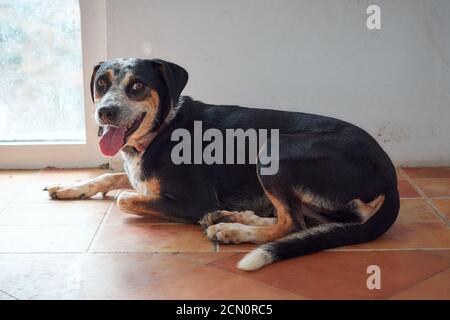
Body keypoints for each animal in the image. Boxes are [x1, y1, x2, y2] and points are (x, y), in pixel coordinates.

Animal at [44, 57, 400, 270]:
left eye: (138, 86)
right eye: (101, 84)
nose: (105, 112)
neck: (163, 126)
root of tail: (389, 174)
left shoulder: (194, 199)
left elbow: (126, 198)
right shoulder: (136, 173)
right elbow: (110, 179)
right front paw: (68, 187)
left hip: (276, 149)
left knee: (293, 224)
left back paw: (231, 229)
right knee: (299, 218)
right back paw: (235, 216)